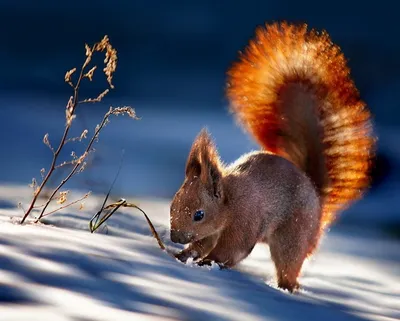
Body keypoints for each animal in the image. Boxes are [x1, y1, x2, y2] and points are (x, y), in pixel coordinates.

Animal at [169, 21, 376, 292]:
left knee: (289, 267)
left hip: (293, 236)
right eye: (172, 204)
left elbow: (230, 251)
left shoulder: (244, 220)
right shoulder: (211, 232)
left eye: (199, 215)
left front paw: (208, 263)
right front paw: (182, 255)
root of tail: (316, 195)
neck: (228, 202)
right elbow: (201, 245)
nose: (174, 237)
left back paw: (286, 288)